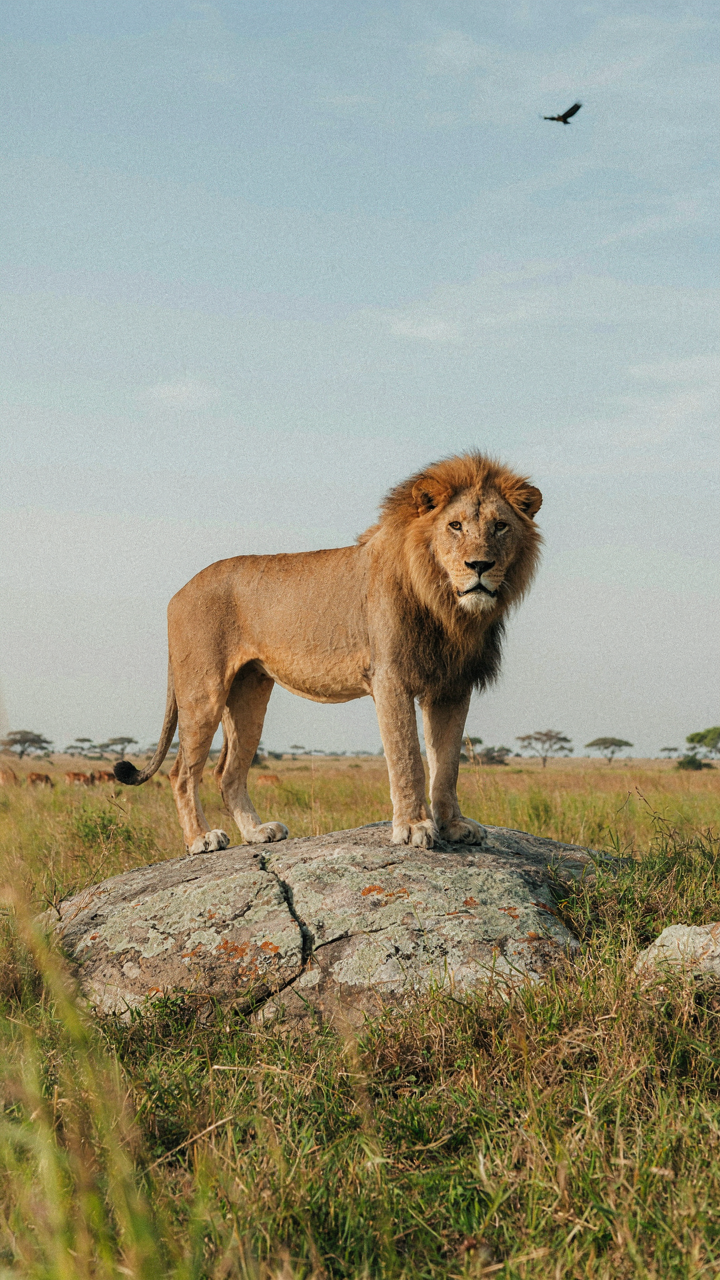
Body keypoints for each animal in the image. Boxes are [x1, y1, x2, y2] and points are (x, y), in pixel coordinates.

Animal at [115, 452, 541, 853]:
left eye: (500, 526)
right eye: (455, 526)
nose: (480, 565)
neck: (447, 604)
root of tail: (178, 593)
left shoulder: (452, 686)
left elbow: (448, 763)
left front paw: (453, 825)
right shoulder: (390, 678)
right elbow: (407, 759)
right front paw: (414, 827)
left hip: (249, 692)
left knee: (228, 772)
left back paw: (256, 832)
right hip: (202, 691)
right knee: (182, 773)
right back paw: (201, 839)